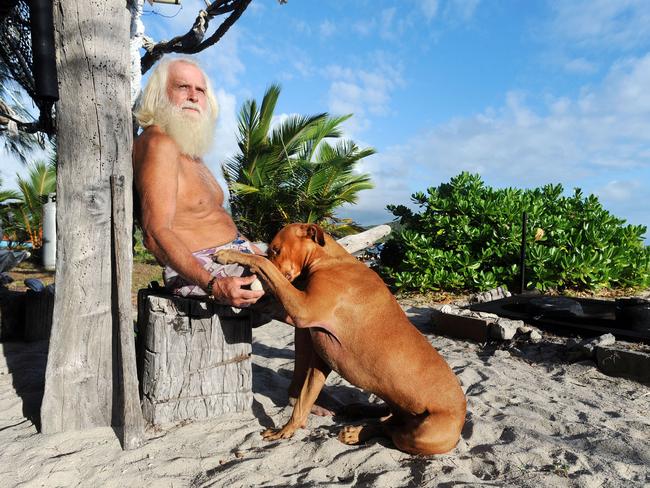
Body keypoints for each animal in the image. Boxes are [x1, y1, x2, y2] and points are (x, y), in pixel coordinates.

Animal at [214, 223, 466, 456]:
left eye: (275, 249)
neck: (328, 260)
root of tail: (463, 414)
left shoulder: (301, 309)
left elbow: (263, 264)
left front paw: (229, 255)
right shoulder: (318, 357)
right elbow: (304, 400)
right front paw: (288, 429)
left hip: (420, 434)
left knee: (391, 430)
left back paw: (358, 431)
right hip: (398, 406)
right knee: (388, 418)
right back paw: (357, 413)